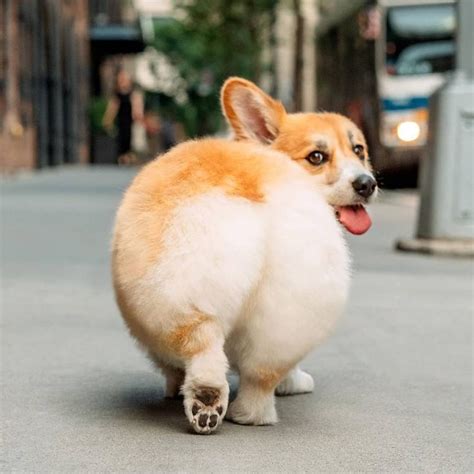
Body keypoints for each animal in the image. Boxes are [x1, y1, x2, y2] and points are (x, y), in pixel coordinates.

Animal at [112, 77, 378, 434]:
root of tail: (255, 190)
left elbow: (171, 366)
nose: (367, 184)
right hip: (286, 307)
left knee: (203, 348)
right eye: (317, 157)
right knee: (262, 373)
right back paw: (244, 411)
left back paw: (207, 399)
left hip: (180, 298)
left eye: (358, 150)